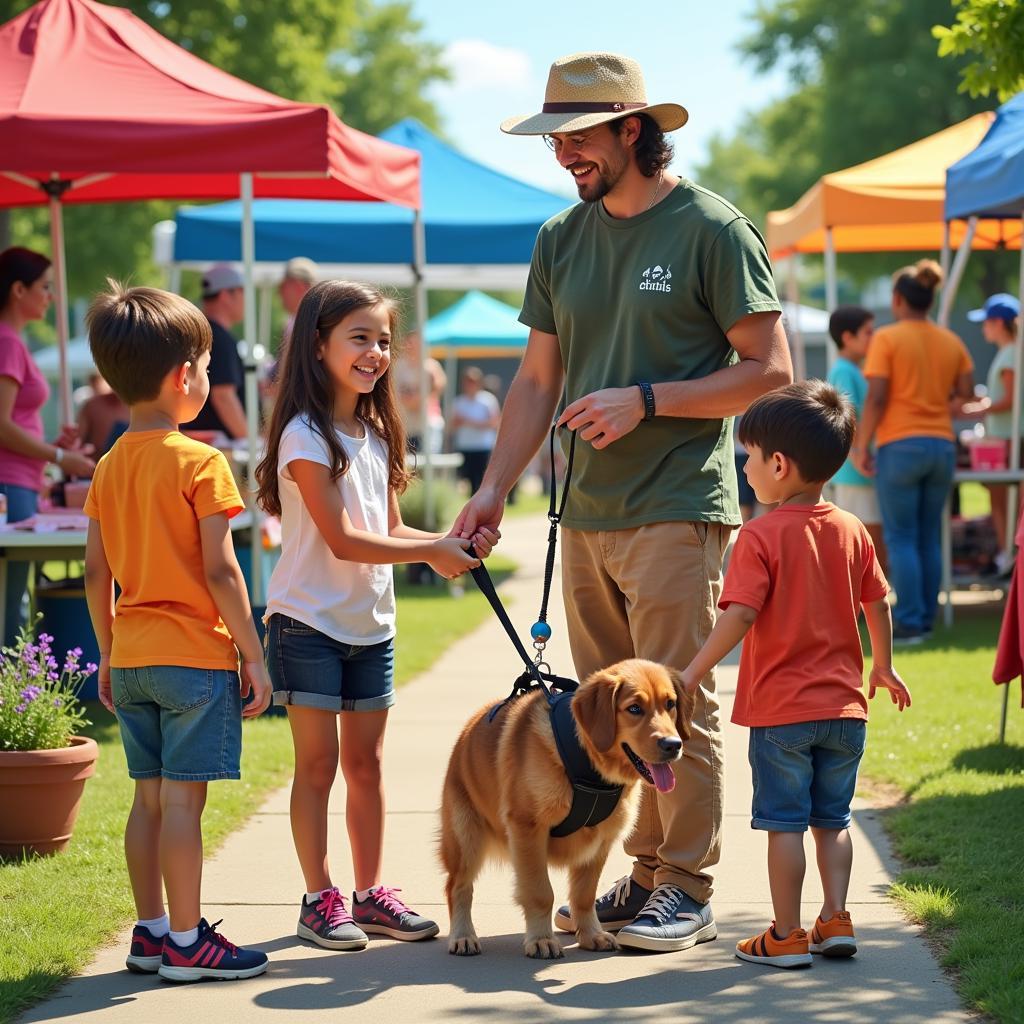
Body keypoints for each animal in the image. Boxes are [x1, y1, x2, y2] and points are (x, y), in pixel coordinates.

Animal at [436, 659, 692, 954]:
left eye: (670, 704)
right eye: (634, 708)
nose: (673, 745)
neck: (587, 763)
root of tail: (466, 733)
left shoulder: (600, 841)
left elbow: (584, 895)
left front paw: (592, 934)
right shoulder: (527, 829)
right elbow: (539, 893)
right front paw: (541, 938)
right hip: (466, 839)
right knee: (458, 887)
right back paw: (462, 935)